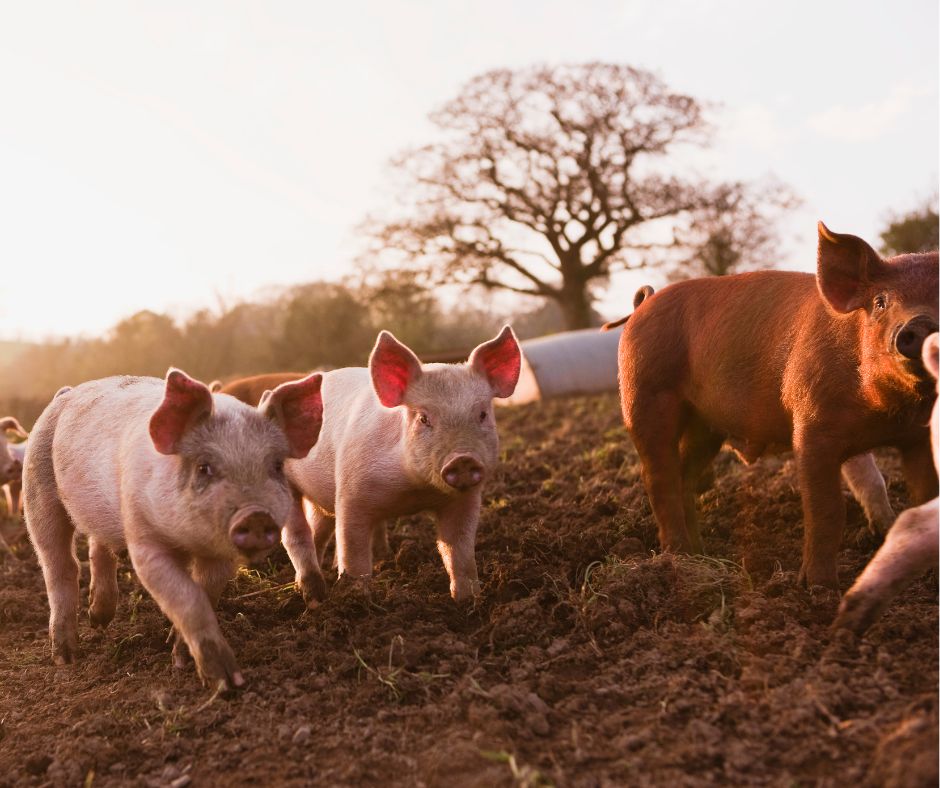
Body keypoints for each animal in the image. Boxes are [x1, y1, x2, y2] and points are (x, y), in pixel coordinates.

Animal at [24, 368, 324, 688]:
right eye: (204, 467)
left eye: (277, 466)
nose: (256, 515)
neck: (188, 541)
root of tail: (66, 393)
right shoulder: (144, 540)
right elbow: (187, 597)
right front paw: (225, 682)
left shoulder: (220, 555)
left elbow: (205, 594)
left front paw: (179, 656)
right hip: (37, 490)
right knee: (60, 565)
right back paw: (65, 657)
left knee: (98, 547)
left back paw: (99, 621)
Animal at [285, 327, 521, 601]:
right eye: (423, 418)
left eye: (482, 414)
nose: (462, 459)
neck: (415, 490)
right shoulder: (351, 493)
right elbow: (353, 552)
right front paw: (357, 598)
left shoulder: (465, 500)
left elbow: (459, 551)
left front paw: (468, 600)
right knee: (299, 535)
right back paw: (311, 592)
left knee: (319, 529)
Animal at [612, 222, 938, 588]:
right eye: (880, 302)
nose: (920, 324)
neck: (884, 413)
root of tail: (644, 304)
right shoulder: (811, 427)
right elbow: (826, 510)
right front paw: (819, 588)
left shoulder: (918, 438)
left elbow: (921, 497)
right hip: (645, 396)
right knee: (659, 476)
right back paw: (679, 556)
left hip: (705, 426)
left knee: (684, 475)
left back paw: (700, 553)